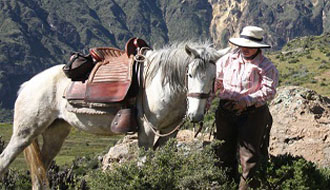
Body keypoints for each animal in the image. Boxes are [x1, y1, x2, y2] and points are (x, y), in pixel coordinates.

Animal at [0, 40, 229, 189]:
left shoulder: (168, 134)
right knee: (5, 160)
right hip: (25, 133)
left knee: (40, 175)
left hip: (54, 133)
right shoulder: (146, 132)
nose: (195, 116)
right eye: (189, 74)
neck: (159, 83)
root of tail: (27, 85)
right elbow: (143, 166)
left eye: (214, 77)